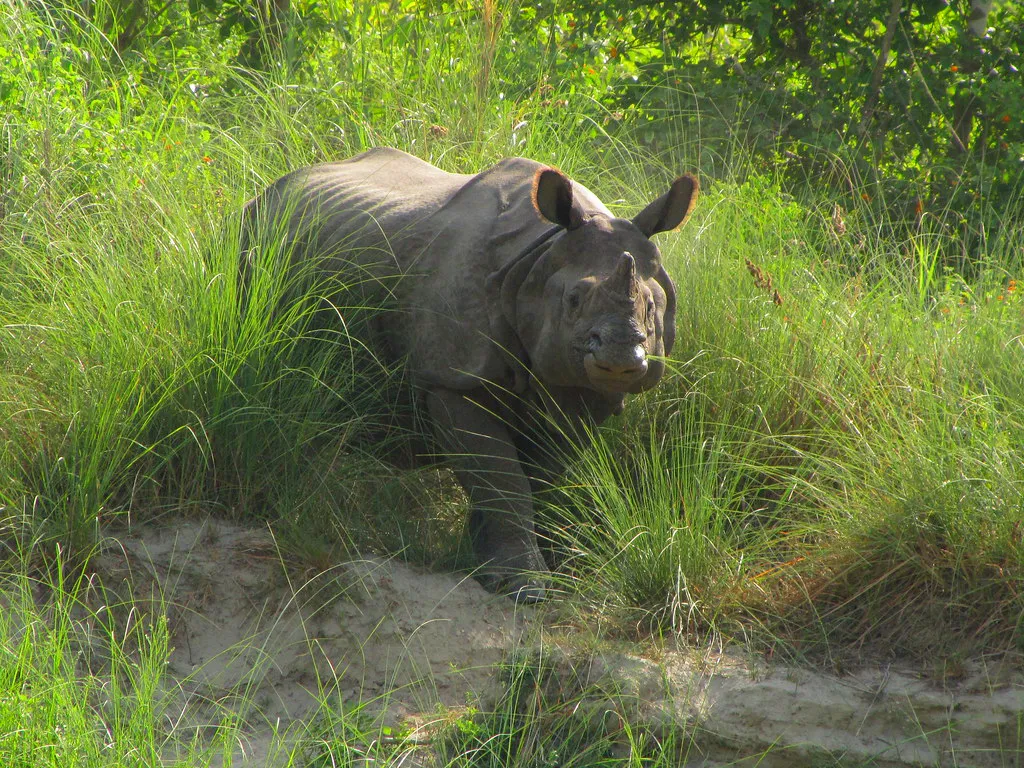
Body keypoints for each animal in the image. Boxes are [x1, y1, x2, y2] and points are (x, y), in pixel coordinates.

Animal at [240, 147, 698, 601]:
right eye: (573, 300)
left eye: (652, 307)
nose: (620, 359)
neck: (539, 256)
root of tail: (269, 190)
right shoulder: (454, 379)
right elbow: (501, 476)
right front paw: (523, 587)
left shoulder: (579, 389)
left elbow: (541, 476)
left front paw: (511, 566)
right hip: (251, 239)